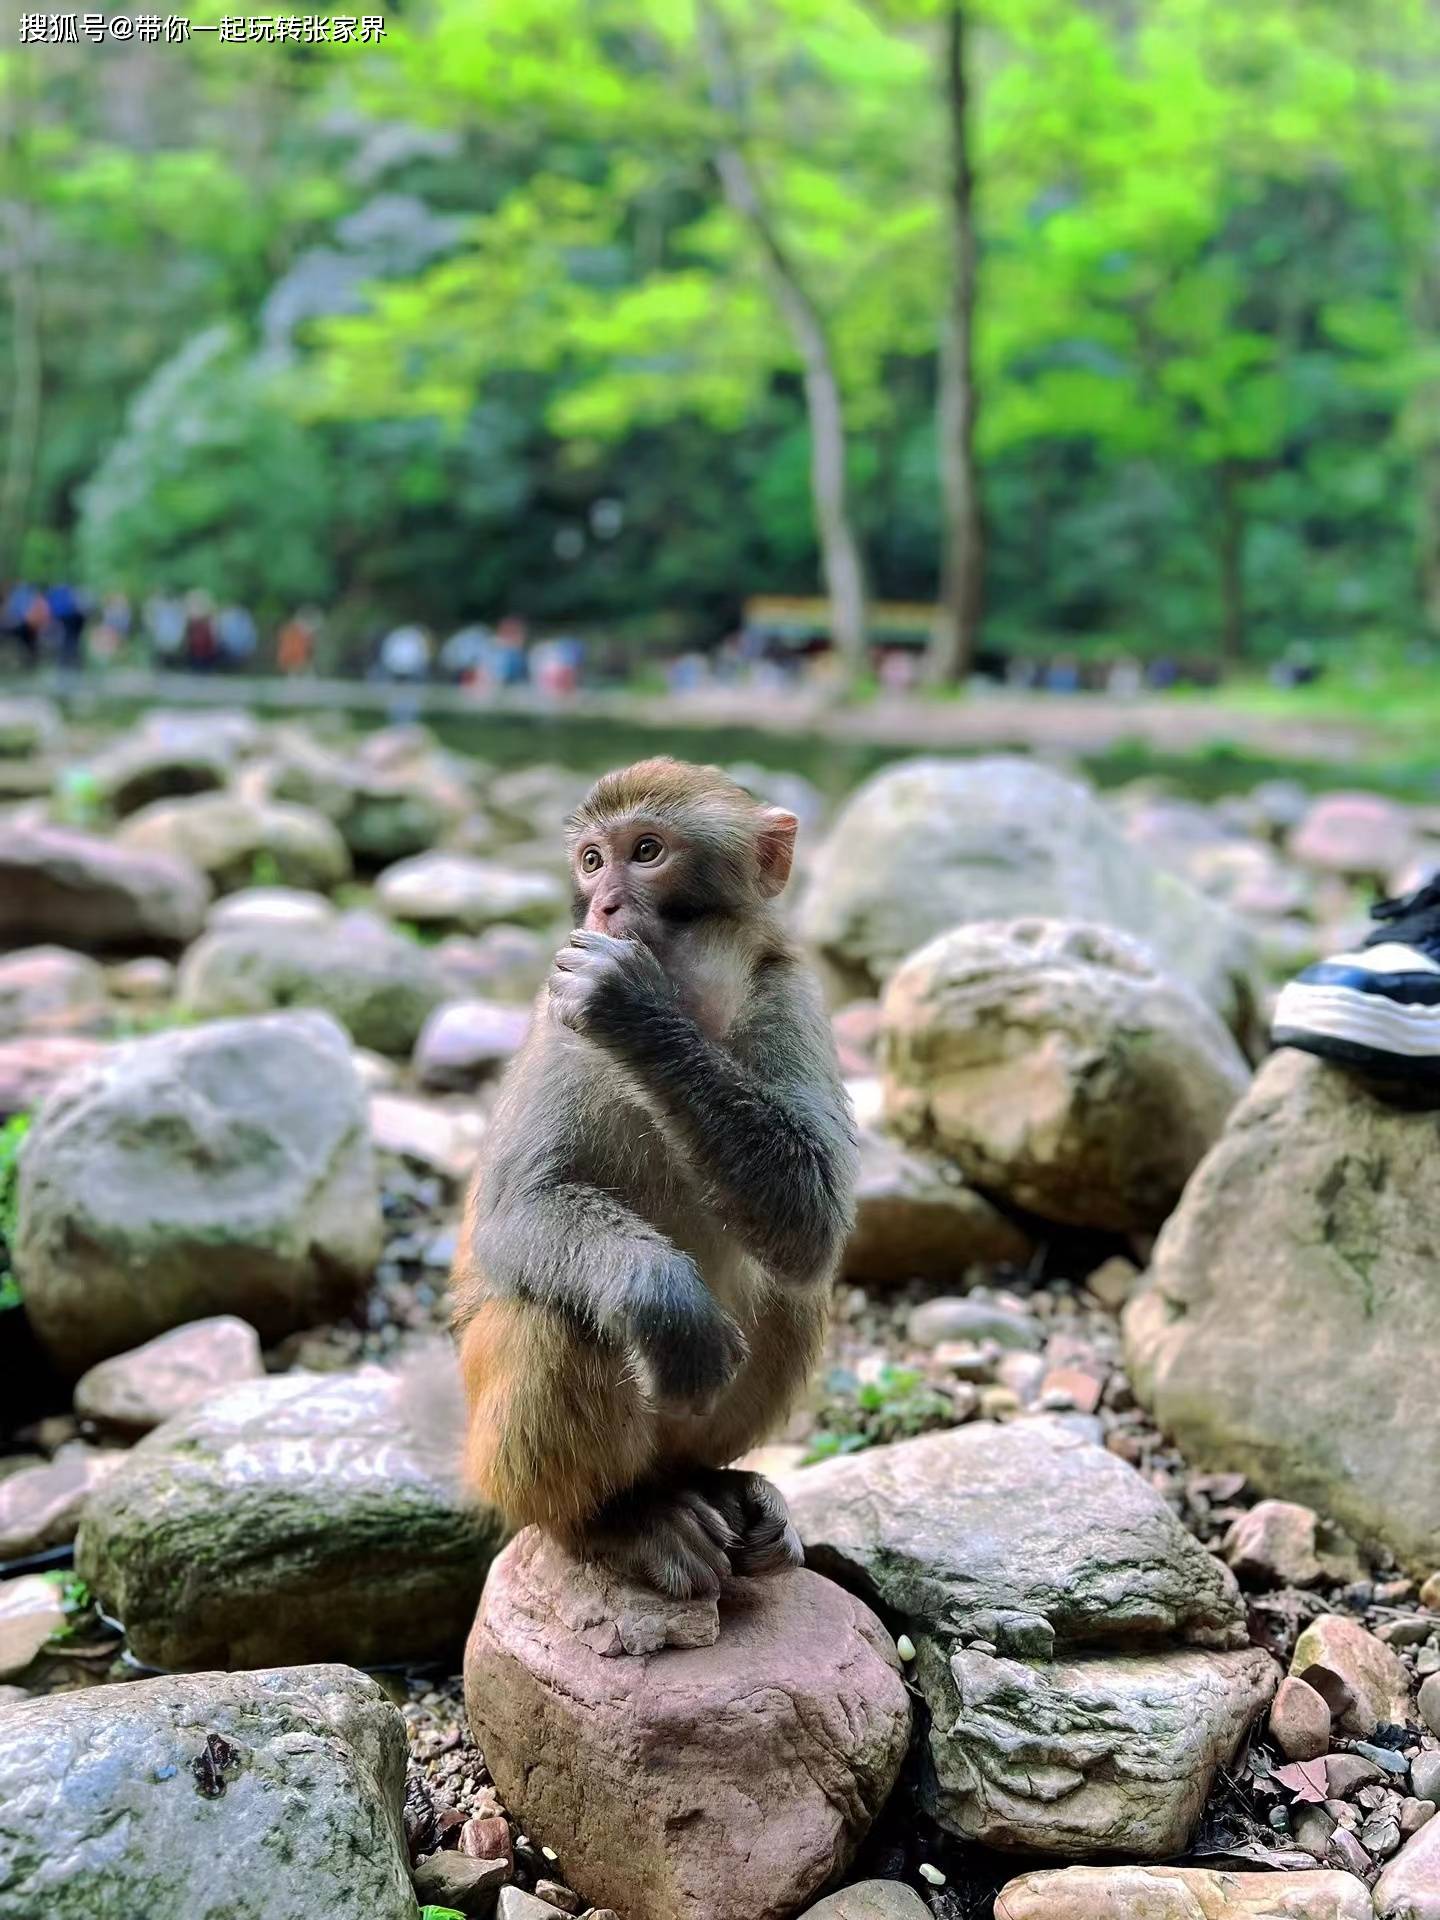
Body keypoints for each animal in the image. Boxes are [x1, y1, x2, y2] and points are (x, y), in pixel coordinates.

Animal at [453, 756, 856, 1597]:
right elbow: (514, 1211)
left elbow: (814, 1221)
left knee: (794, 1293)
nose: (604, 903)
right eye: (591, 859)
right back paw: (613, 1521)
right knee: (558, 1319)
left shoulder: (787, 993)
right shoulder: (558, 1016)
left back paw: (711, 1482)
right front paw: (667, 1302)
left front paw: (636, 1011)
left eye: (646, 852)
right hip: (494, 1439)